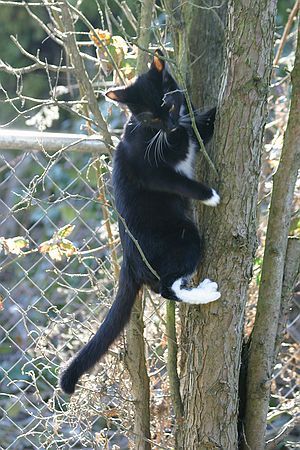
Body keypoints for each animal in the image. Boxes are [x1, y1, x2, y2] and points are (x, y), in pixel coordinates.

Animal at [60, 50, 220, 394]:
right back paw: (206, 291)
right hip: (182, 236)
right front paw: (209, 195)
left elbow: (201, 127)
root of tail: (129, 261)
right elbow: (176, 181)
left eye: (167, 107)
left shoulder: (187, 131)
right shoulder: (149, 168)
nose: (170, 125)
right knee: (166, 287)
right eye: (150, 118)